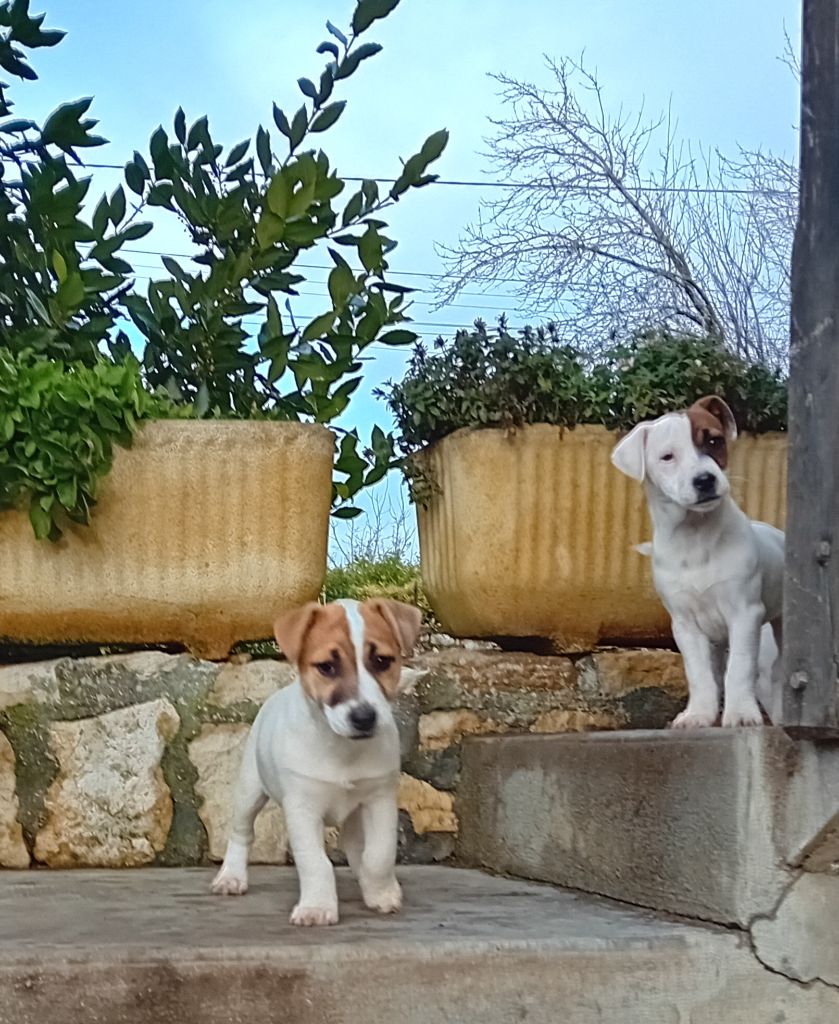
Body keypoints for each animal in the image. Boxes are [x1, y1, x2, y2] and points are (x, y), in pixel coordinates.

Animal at [210, 598, 420, 925]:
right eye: (327, 667)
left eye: (382, 661)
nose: (364, 718)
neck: (342, 749)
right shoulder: (302, 808)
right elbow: (315, 862)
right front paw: (317, 908)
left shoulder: (379, 799)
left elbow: (378, 855)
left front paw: (381, 893)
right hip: (249, 791)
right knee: (242, 833)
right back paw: (231, 877)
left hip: (353, 814)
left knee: (356, 846)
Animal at [610, 397, 786, 729]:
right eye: (667, 457)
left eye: (714, 441)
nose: (705, 480)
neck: (695, 536)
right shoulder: (686, 625)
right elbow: (700, 675)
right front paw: (698, 715)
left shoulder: (744, 613)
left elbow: (739, 668)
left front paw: (741, 714)